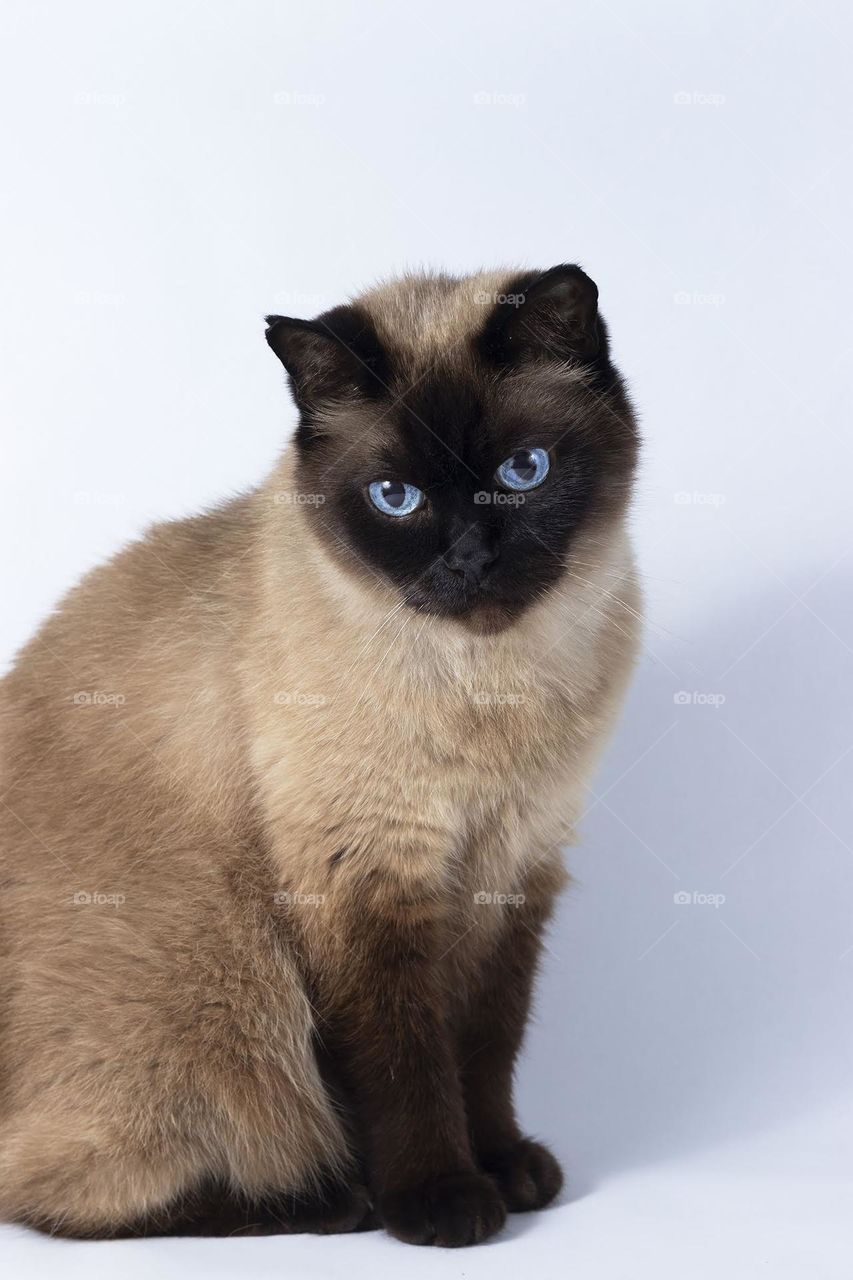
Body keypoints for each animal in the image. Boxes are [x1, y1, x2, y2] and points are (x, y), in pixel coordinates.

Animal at [0, 264, 637, 1244]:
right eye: (395, 498)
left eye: (521, 472)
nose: (468, 559)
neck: (489, 689)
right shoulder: (361, 876)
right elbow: (405, 1061)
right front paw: (440, 1202)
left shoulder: (510, 868)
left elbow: (485, 1047)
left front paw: (504, 1165)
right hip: (222, 975)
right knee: (61, 1192)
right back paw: (331, 1201)